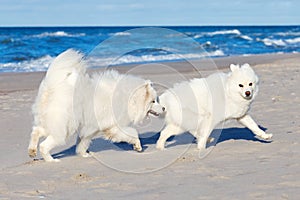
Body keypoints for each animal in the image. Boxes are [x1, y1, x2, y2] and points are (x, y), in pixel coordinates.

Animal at [27, 49, 164, 162]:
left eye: (156, 100)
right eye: (153, 101)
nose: (164, 108)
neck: (130, 99)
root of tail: (52, 87)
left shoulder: (91, 128)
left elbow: (83, 142)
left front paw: (83, 154)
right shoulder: (114, 126)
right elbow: (133, 133)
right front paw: (138, 146)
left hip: (54, 123)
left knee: (36, 131)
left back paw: (32, 150)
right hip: (66, 127)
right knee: (44, 145)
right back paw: (51, 160)